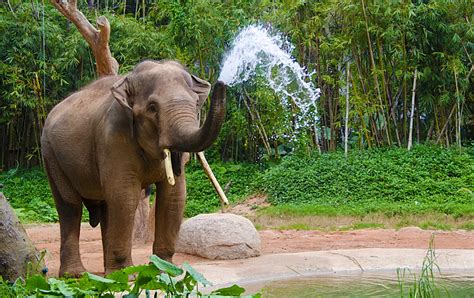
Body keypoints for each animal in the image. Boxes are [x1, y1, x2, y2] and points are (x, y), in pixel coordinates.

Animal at [40, 59, 226, 276]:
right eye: (152, 107)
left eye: (196, 103)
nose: (222, 83)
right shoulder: (113, 137)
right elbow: (125, 196)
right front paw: (126, 274)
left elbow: (174, 196)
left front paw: (164, 270)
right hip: (51, 155)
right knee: (70, 207)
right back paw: (78, 275)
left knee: (106, 207)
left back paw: (107, 273)